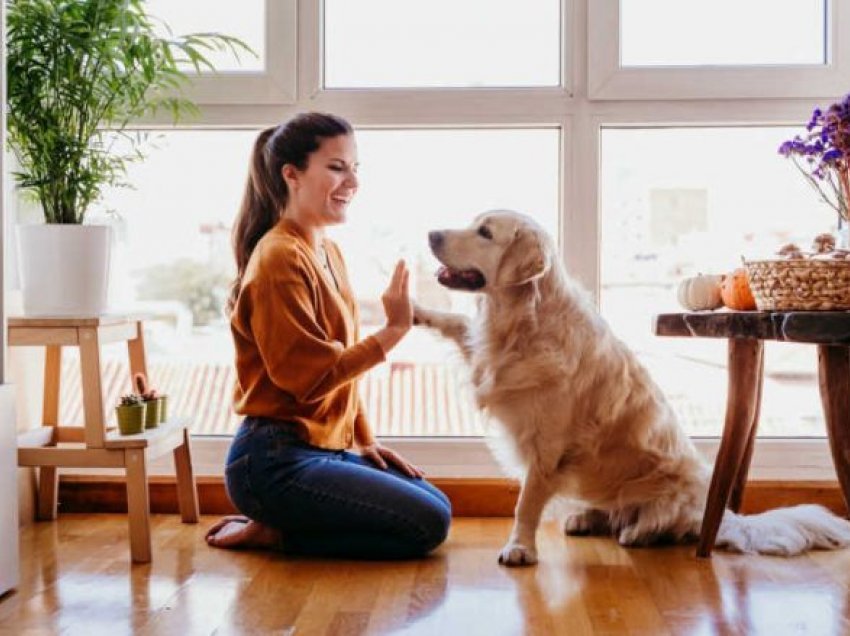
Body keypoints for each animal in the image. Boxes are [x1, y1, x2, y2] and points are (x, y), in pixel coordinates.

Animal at [414, 209, 848, 568]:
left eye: (485, 233)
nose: (431, 233)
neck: (522, 322)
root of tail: (724, 515)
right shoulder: (484, 355)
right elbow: (455, 322)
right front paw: (414, 310)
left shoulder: (547, 447)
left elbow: (526, 504)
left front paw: (520, 548)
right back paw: (585, 518)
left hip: (672, 490)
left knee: (666, 523)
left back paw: (637, 532)